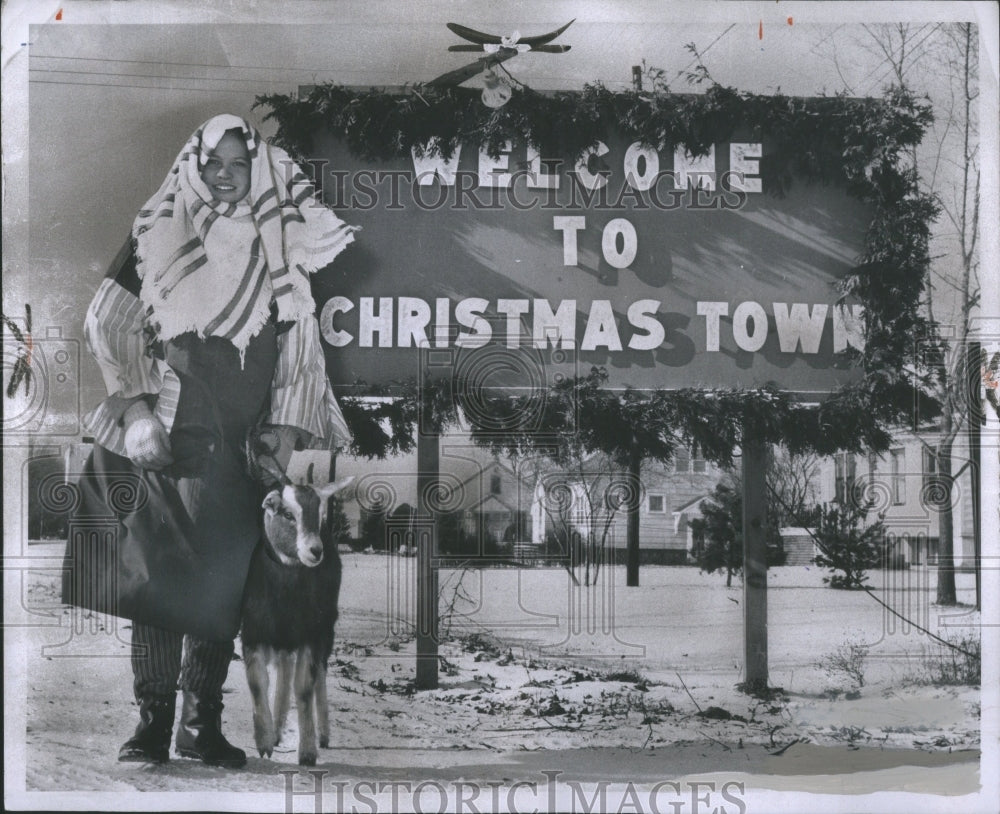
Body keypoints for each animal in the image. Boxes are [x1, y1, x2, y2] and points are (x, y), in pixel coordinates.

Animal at [240, 474, 354, 768]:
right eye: (287, 514)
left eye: (320, 514)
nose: (315, 551)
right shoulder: (253, 630)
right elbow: (256, 683)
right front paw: (264, 740)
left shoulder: (311, 634)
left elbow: (304, 689)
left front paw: (307, 751)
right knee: (284, 670)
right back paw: (277, 728)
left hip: (325, 627)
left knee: (318, 676)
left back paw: (323, 733)